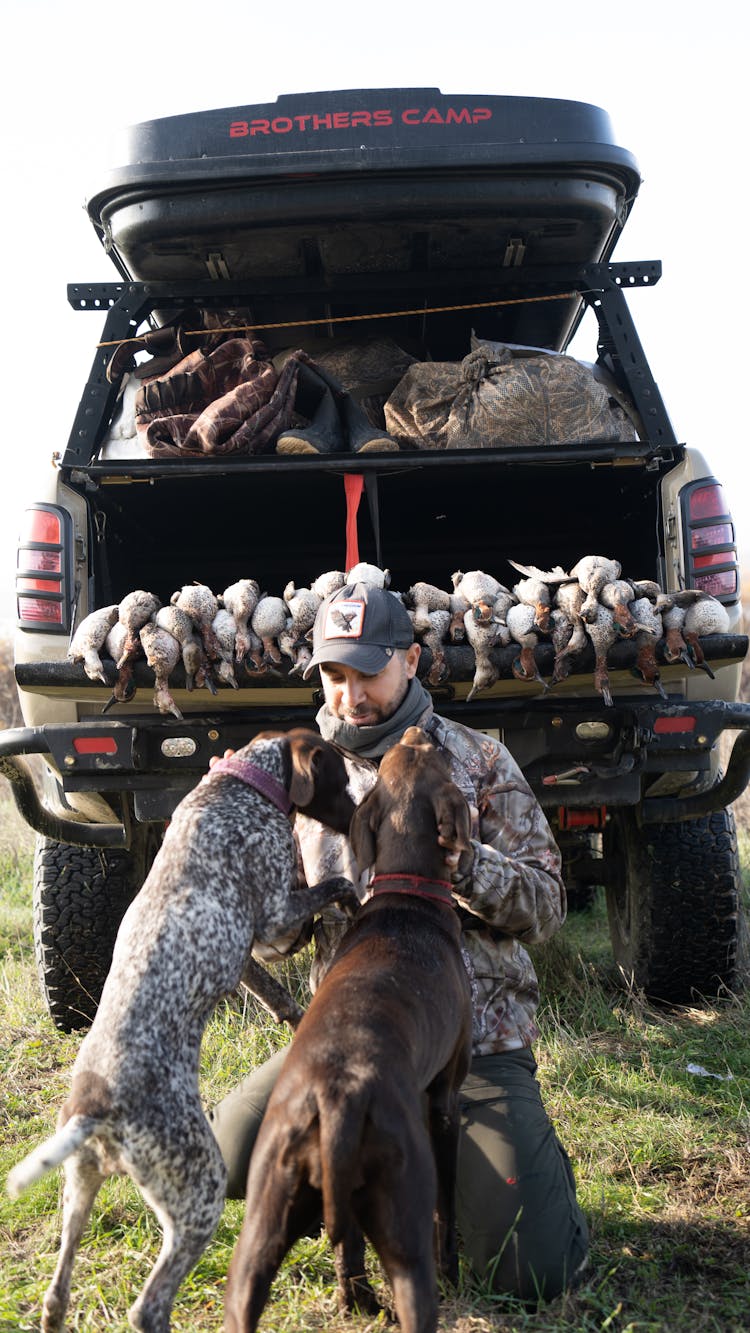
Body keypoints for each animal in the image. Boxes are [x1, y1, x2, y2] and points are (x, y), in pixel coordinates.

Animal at [5, 735, 357, 1327]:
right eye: (341, 776)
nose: (357, 815)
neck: (239, 785)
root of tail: (95, 1108)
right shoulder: (275, 916)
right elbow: (332, 886)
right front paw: (349, 895)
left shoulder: (249, 956)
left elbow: (280, 996)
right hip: (199, 1190)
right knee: (147, 1307)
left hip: (79, 1188)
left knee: (57, 1294)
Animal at [222, 730, 471, 1333]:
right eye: (432, 757)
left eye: (398, 759)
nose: (420, 732)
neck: (407, 894)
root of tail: (335, 1101)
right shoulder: (445, 1098)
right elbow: (448, 1207)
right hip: (405, 1231)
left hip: (260, 1230)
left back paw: (355, 1299)